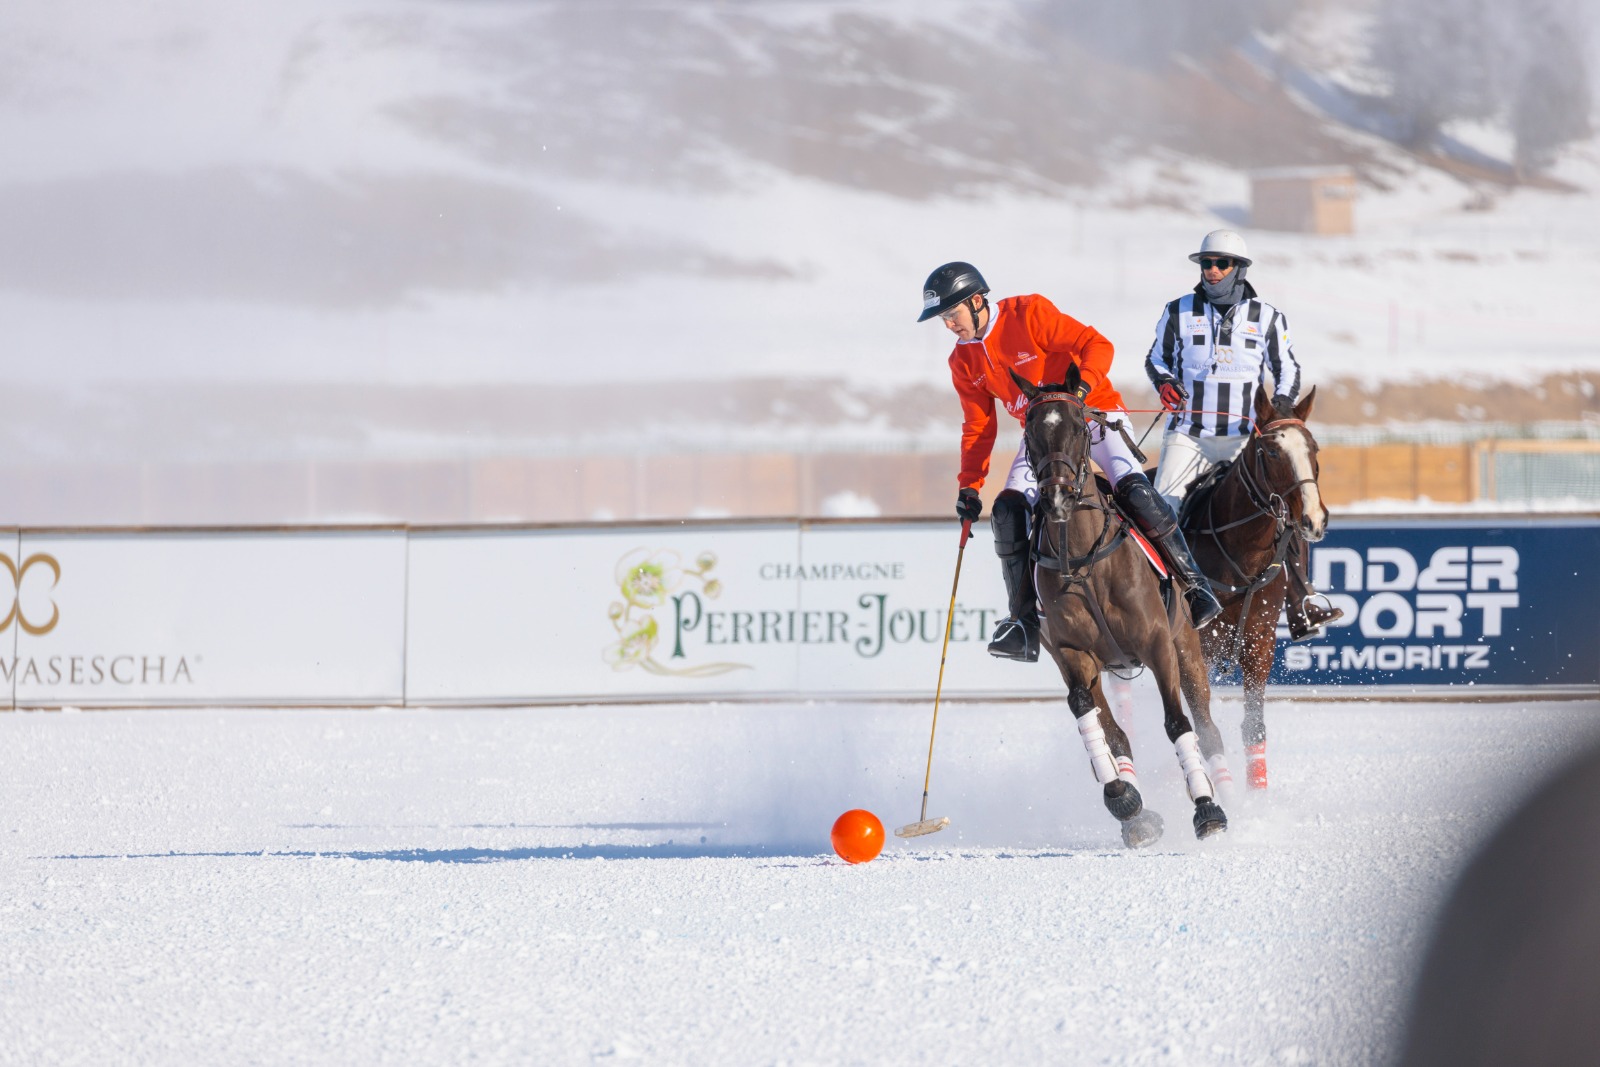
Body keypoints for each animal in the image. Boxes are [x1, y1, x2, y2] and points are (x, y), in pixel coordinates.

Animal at [1011, 369, 1222, 851]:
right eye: (1029, 432)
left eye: (1079, 427)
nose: (1056, 499)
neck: (1083, 559)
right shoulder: (1070, 654)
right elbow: (1091, 717)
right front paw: (1122, 798)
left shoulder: (1159, 644)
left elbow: (1178, 723)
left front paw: (1207, 809)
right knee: (1115, 732)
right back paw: (1136, 817)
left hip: (1187, 643)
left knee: (1206, 727)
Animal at [1177, 388, 1324, 790]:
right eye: (1271, 452)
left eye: (1314, 449)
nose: (1314, 520)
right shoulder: (1196, 646)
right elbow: (1202, 725)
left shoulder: (1259, 644)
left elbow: (1254, 726)